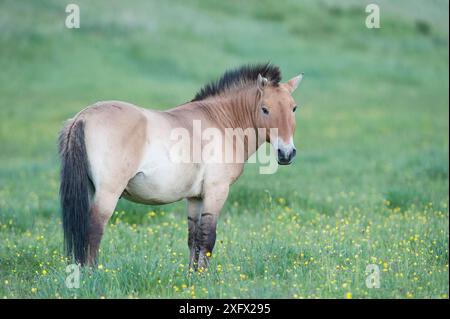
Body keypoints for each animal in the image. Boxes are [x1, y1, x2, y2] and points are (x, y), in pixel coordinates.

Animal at [58, 63, 304, 270]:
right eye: (265, 109)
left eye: (293, 108)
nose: (286, 153)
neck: (221, 122)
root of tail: (83, 117)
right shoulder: (216, 191)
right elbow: (208, 237)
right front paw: (204, 278)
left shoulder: (194, 198)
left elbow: (194, 238)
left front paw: (191, 276)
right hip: (108, 193)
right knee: (93, 231)